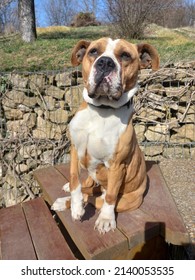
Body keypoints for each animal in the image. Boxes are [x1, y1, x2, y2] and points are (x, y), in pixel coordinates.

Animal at [52, 37, 160, 234]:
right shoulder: (75, 149)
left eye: (125, 55)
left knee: (97, 199)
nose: (105, 62)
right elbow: (75, 179)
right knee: (86, 186)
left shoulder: (117, 166)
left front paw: (106, 219)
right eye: (93, 52)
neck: (101, 111)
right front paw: (76, 206)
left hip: (126, 199)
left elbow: (109, 197)